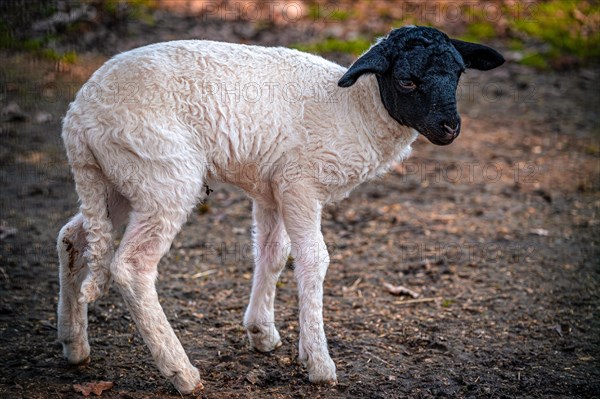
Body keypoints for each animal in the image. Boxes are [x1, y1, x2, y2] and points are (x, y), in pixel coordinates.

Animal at [57, 26, 506, 396]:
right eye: (407, 80)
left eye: (459, 74)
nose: (450, 128)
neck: (355, 109)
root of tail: (77, 120)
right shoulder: (299, 184)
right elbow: (312, 259)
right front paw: (319, 363)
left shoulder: (272, 187)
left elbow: (273, 253)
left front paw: (261, 332)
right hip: (162, 174)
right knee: (131, 266)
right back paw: (181, 372)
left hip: (117, 180)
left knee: (74, 236)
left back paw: (74, 344)